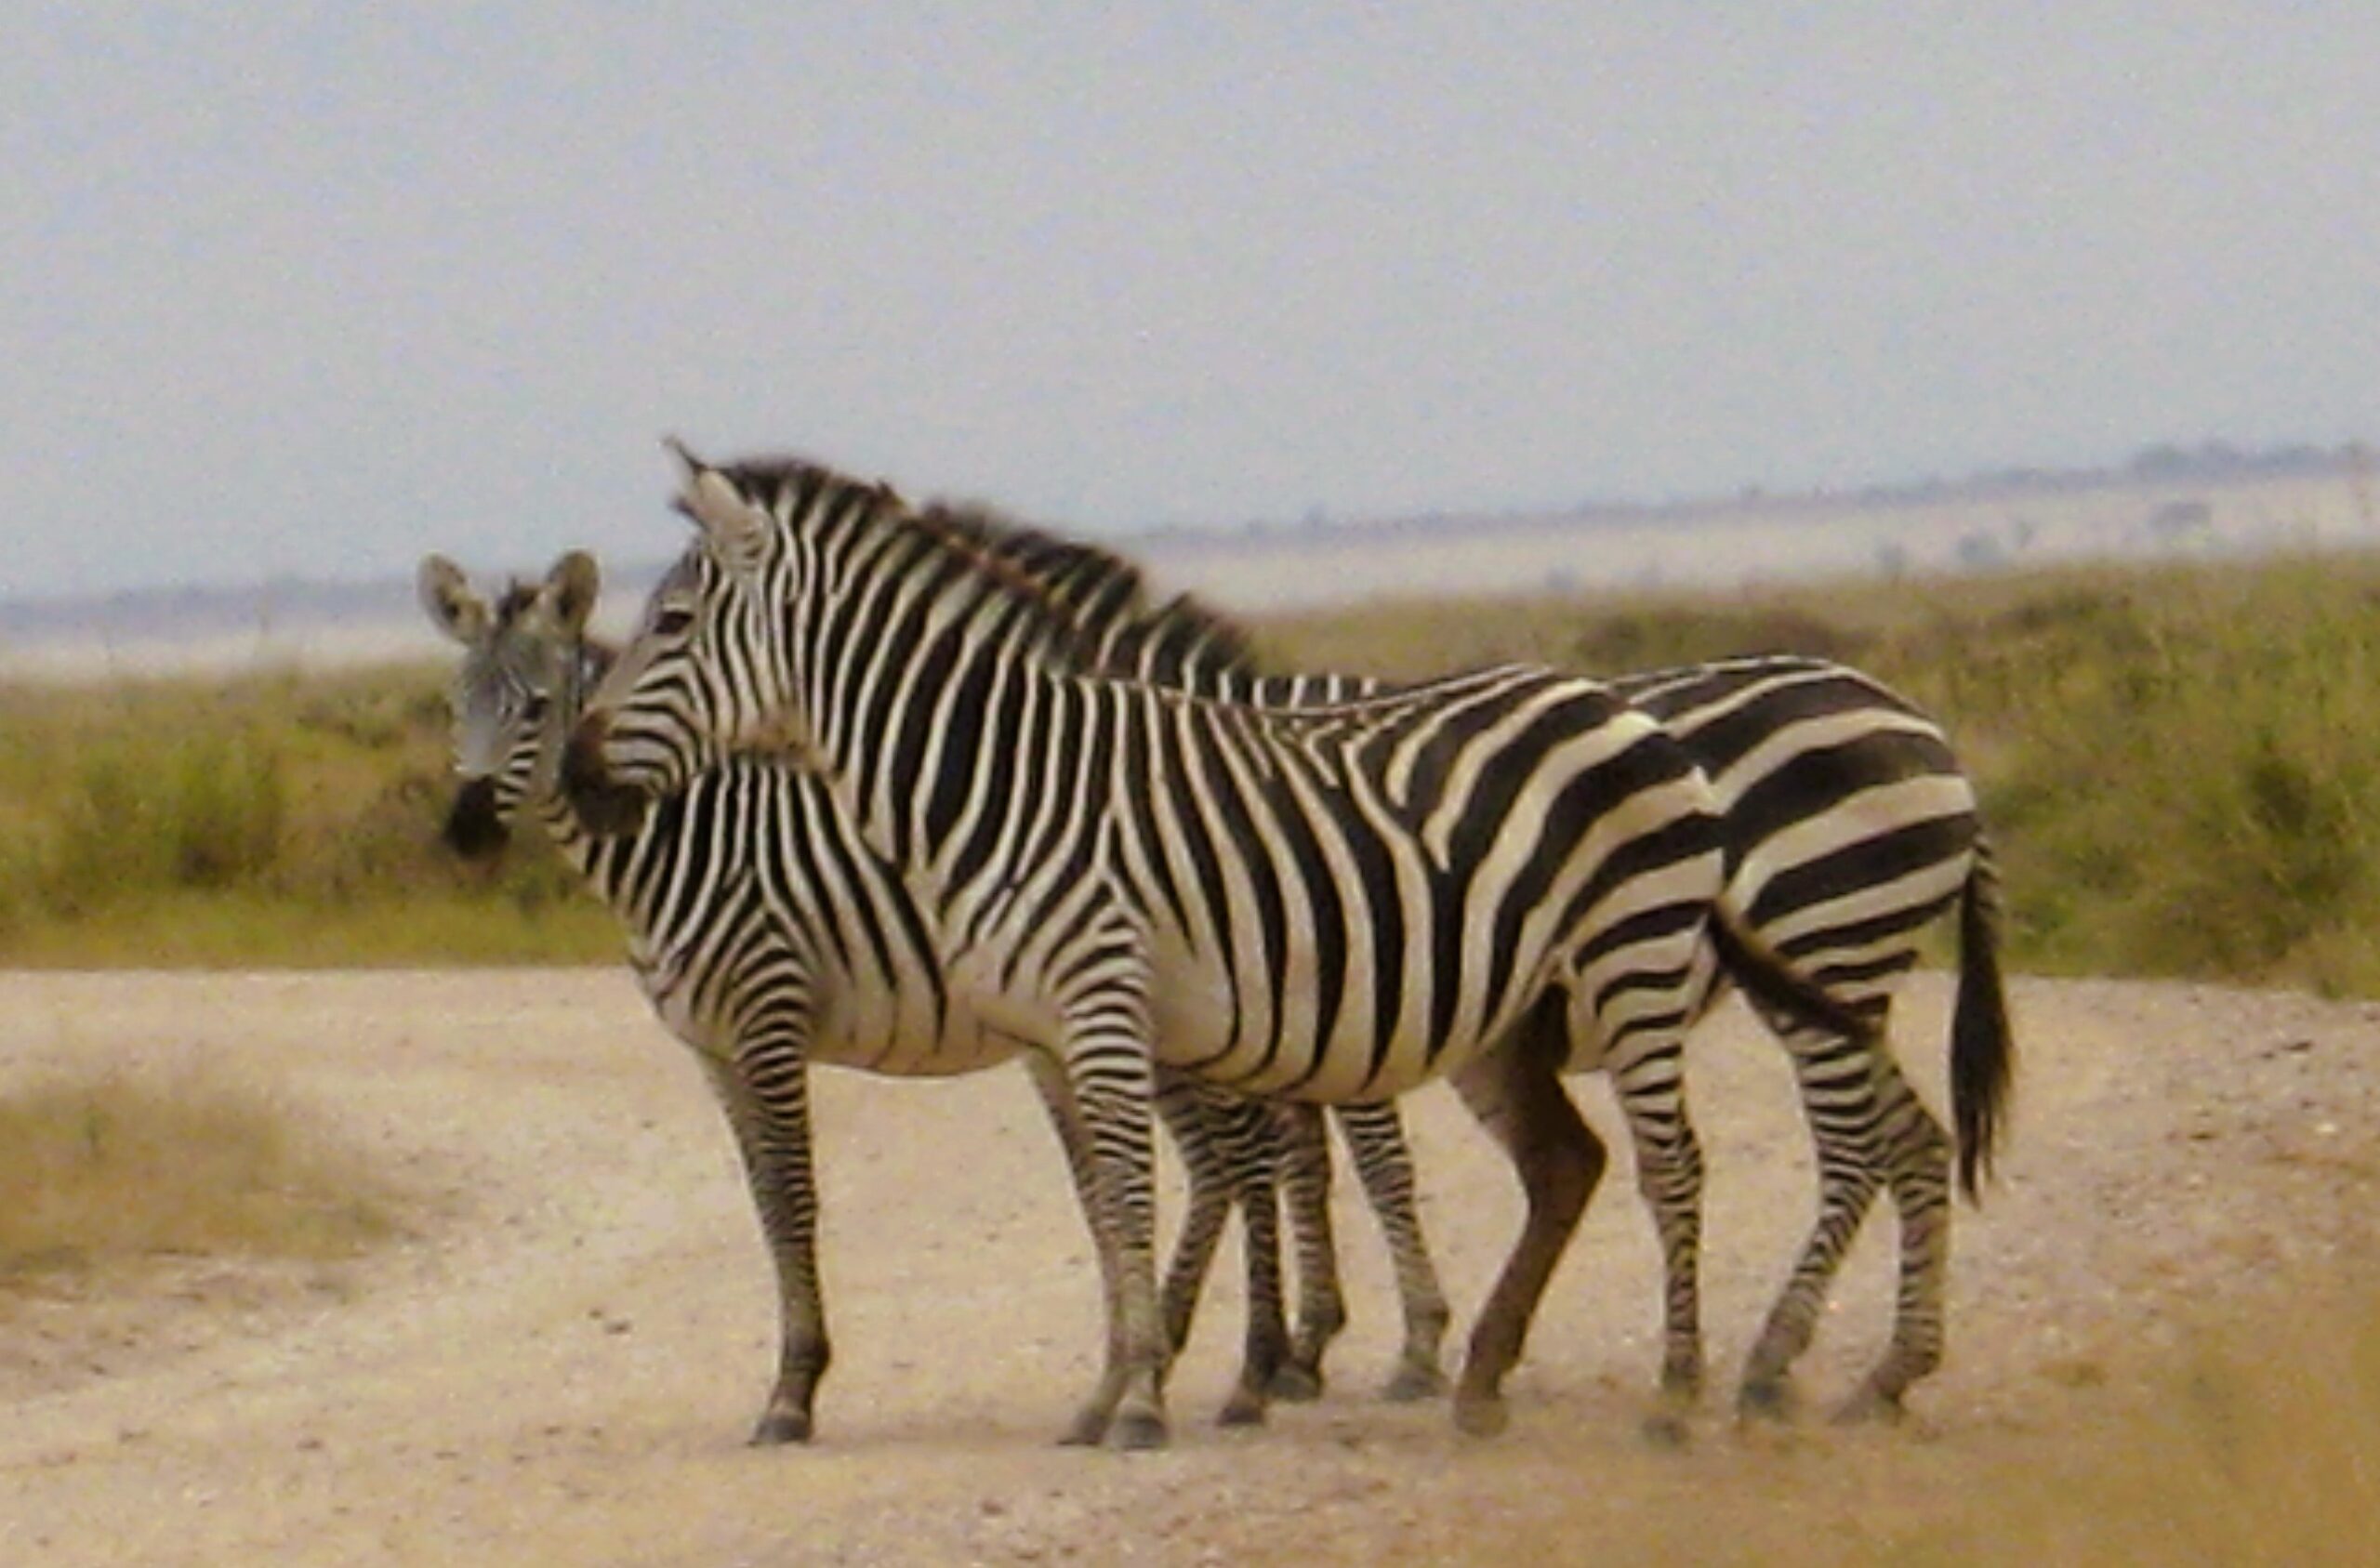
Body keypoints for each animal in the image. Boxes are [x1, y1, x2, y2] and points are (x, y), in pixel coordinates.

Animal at [416, 549, 1365, 1441]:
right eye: (456, 705)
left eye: (536, 707)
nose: (466, 837)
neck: (686, 840)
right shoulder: (713, 1050)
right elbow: (765, 1204)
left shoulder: (769, 1013)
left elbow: (795, 1197)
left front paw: (795, 1389)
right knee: (1227, 1165)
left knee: (1245, 1161)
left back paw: (1253, 1370)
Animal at [562, 446, 1879, 1449]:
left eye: (671, 621)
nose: (574, 772)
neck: (1002, 781)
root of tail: (1615, 702)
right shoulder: (1056, 1030)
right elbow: (1110, 1205)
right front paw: (1119, 1390)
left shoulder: (1109, 1007)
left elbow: (1148, 1192)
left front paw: (1153, 1398)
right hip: (1517, 1010)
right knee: (1571, 1164)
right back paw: (1487, 1382)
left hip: (1634, 957)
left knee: (1674, 1166)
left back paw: (1681, 1391)